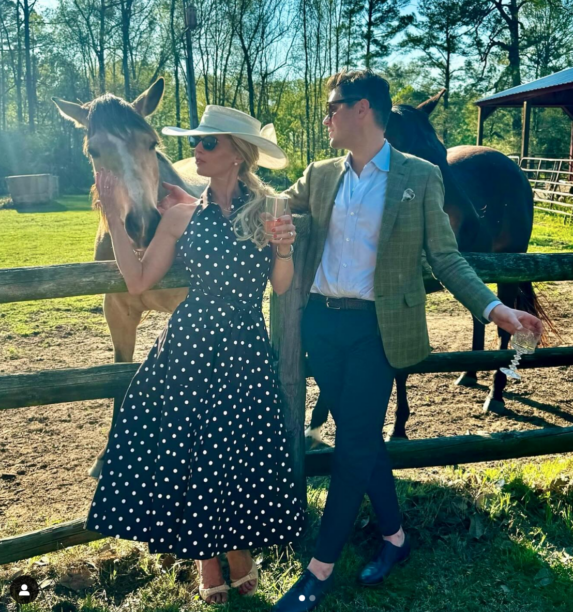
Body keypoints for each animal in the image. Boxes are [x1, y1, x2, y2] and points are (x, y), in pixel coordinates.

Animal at [52, 77, 207, 478]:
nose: (143, 225)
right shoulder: (117, 312)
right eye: (94, 151)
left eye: (151, 143)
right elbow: (119, 375)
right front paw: (108, 455)